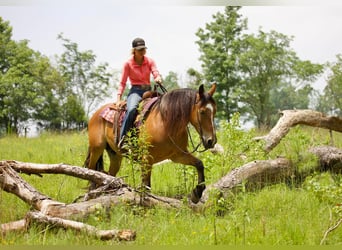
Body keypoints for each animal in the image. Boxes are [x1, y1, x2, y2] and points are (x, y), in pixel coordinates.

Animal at [84, 83, 216, 203]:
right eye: (202, 111)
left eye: (214, 111)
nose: (211, 141)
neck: (165, 122)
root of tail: (96, 113)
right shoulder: (146, 158)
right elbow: (146, 186)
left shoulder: (178, 155)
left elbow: (199, 164)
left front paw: (197, 193)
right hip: (97, 148)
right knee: (91, 170)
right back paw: (91, 191)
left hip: (115, 155)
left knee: (110, 175)